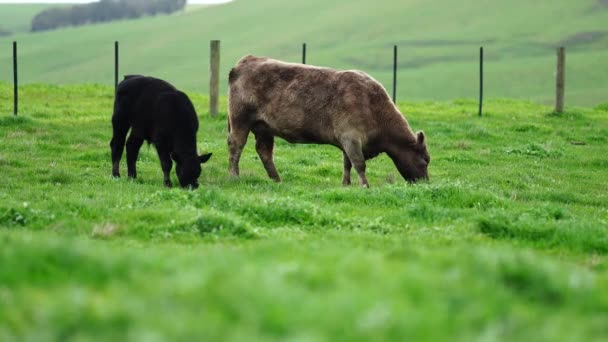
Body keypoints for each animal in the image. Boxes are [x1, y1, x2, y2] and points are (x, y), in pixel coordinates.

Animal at [226, 55, 430, 187]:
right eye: (424, 161)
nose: (426, 184)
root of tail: (247, 60)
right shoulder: (351, 137)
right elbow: (359, 163)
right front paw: (365, 186)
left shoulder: (347, 140)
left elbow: (347, 163)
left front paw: (346, 184)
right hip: (240, 119)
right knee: (236, 145)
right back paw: (234, 176)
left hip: (264, 127)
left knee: (264, 151)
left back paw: (277, 180)